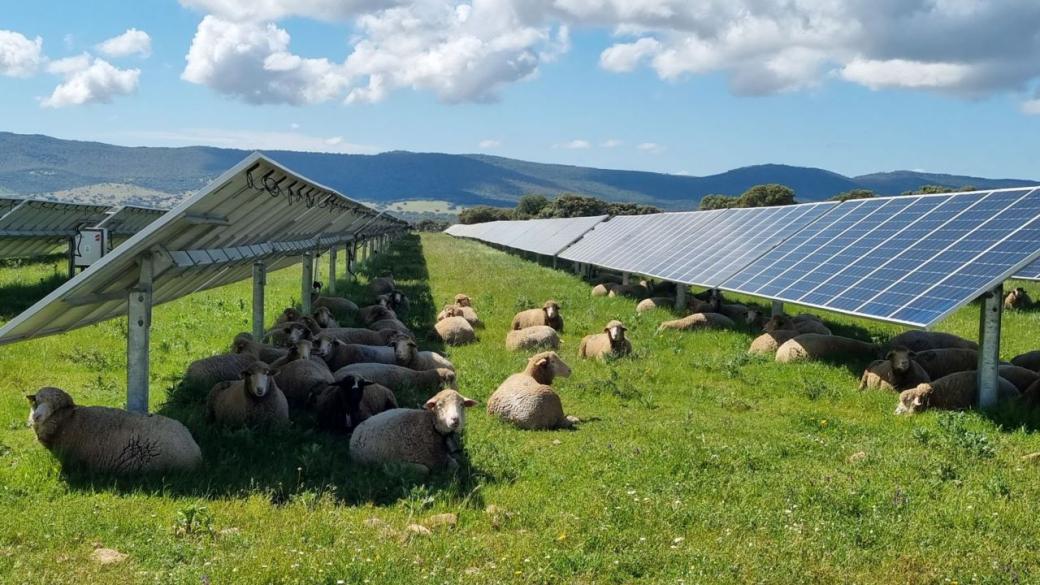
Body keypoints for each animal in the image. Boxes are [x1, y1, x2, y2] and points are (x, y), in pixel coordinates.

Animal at [349, 387, 478, 474]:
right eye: (440, 405)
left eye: (461, 405)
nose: (455, 420)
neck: (430, 426)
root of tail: (356, 430)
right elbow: (425, 469)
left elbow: (455, 465)